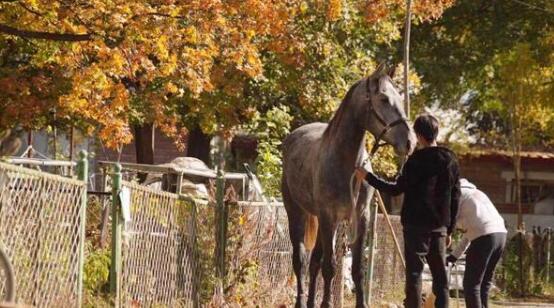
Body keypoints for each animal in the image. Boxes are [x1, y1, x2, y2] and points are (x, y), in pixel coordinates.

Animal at [280, 63, 414, 308]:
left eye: (400, 98)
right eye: (383, 99)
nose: (410, 142)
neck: (346, 163)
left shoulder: (361, 217)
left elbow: (358, 269)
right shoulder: (328, 217)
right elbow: (330, 267)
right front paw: (326, 304)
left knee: (314, 262)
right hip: (297, 213)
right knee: (301, 261)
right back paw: (302, 302)